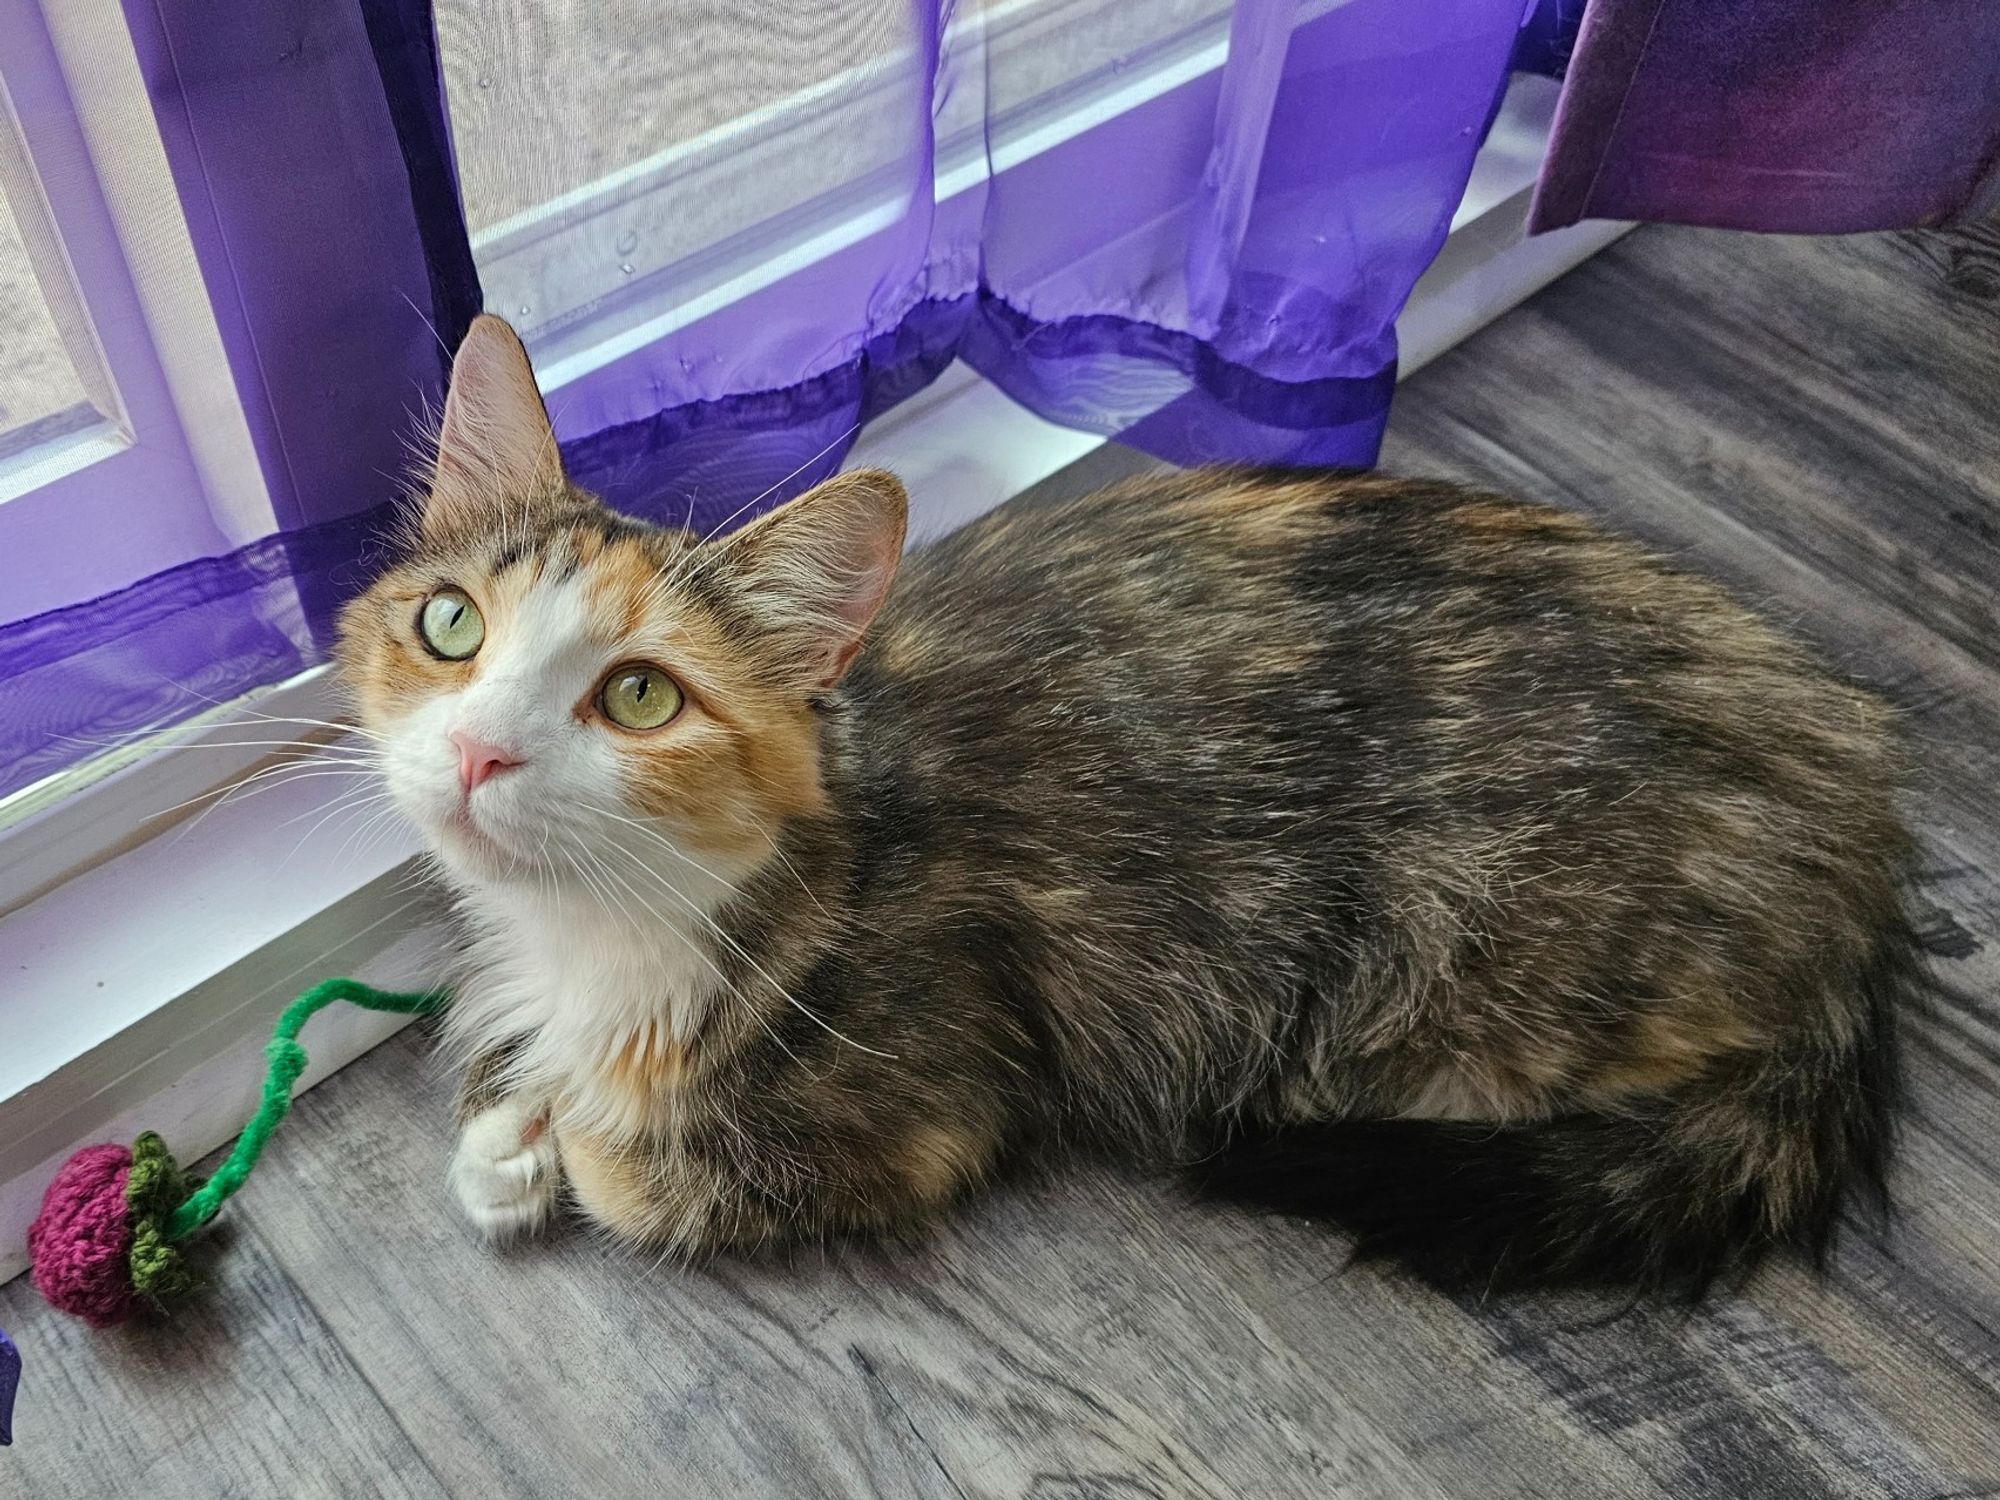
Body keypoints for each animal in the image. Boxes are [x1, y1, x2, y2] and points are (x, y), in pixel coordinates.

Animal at [332, 314, 1920, 1296]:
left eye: (642, 698)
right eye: (453, 626)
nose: (479, 753)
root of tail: (1865, 868)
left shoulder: (937, 1098)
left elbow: (631, 1169)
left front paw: (549, 1139)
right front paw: (511, 1121)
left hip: (1455, 955)